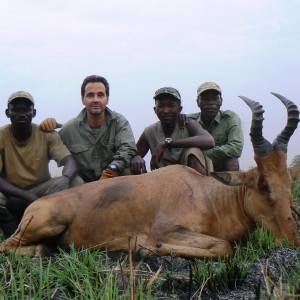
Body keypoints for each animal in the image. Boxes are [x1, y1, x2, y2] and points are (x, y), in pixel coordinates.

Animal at [0, 92, 298, 258]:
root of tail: (35, 206)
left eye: (288, 183)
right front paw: (142, 247)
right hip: (45, 223)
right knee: (8, 246)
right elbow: (224, 247)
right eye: (263, 185)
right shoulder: (167, 230)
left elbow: (223, 246)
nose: (292, 242)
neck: (207, 194)